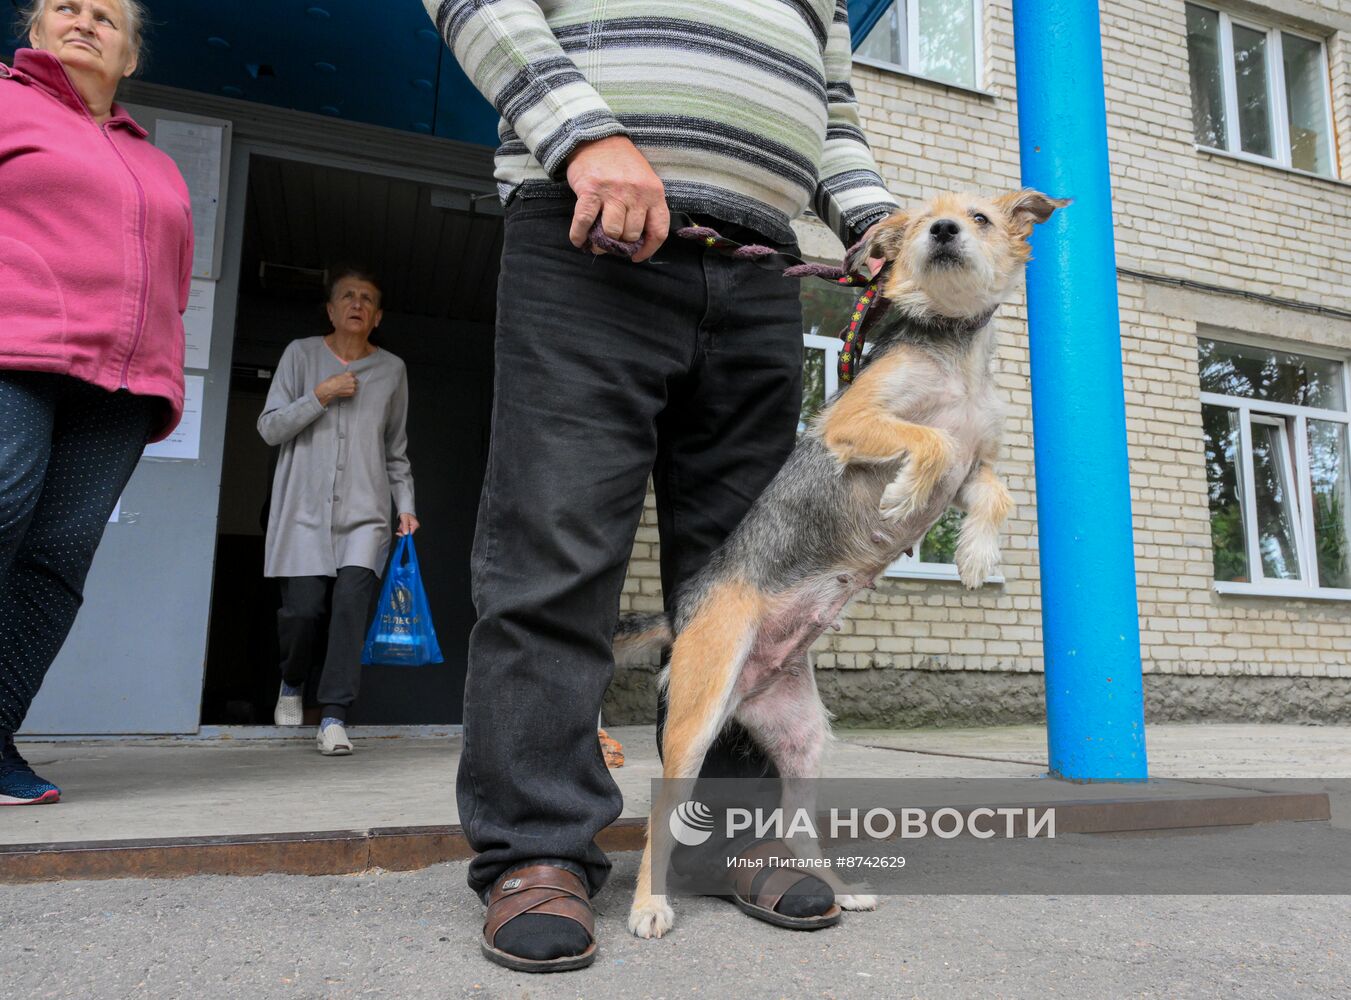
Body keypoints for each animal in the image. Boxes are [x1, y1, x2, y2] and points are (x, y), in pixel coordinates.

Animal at [624, 187, 1075, 935]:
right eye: (922, 224)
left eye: (979, 219)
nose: (943, 231)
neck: (951, 352)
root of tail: (681, 611)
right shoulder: (855, 424)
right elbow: (930, 443)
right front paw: (904, 494)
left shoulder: (980, 462)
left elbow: (997, 493)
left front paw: (975, 558)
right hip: (694, 719)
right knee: (659, 821)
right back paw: (648, 905)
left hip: (804, 740)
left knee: (796, 826)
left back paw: (834, 888)